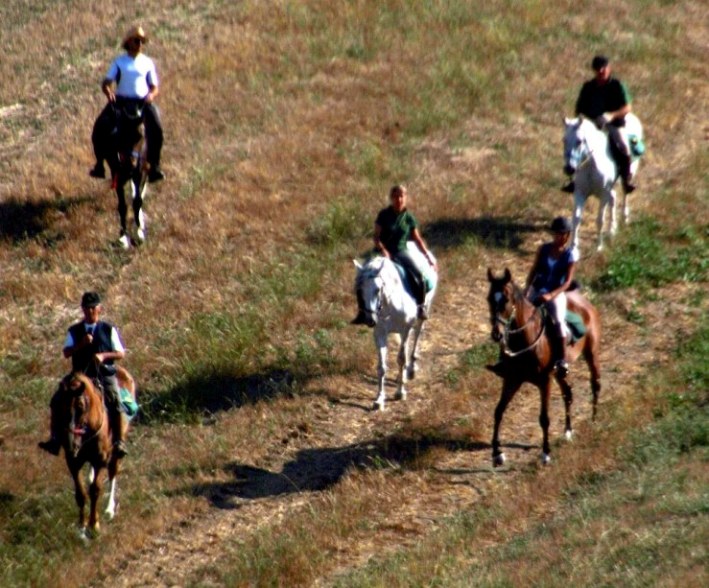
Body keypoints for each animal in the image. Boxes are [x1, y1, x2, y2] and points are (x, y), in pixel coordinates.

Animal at [53, 370, 136, 540]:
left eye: (81, 406)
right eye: (60, 407)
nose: (71, 445)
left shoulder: (101, 460)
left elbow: (95, 490)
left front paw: (94, 525)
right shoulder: (73, 463)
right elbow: (81, 494)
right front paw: (81, 528)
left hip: (115, 453)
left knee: (113, 473)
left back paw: (109, 509)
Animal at [106, 99, 147, 250]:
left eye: (141, 135)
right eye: (122, 136)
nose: (131, 164)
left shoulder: (139, 173)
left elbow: (137, 201)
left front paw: (140, 234)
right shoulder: (118, 177)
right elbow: (122, 206)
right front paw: (123, 238)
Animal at [352, 241, 434, 412]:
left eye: (377, 289)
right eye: (359, 290)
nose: (370, 319)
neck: (388, 304)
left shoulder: (404, 329)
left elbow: (401, 359)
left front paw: (400, 392)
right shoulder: (380, 333)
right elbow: (381, 367)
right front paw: (379, 399)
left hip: (423, 312)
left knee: (417, 335)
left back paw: (411, 370)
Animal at [486, 268, 596, 466]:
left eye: (506, 299)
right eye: (489, 299)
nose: (497, 334)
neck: (525, 341)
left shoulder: (545, 381)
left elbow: (544, 418)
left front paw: (545, 453)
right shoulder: (512, 379)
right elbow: (498, 411)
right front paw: (497, 453)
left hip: (590, 353)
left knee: (594, 383)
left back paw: (594, 419)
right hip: (559, 373)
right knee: (568, 393)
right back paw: (568, 431)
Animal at [564, 113, 640, 252]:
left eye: (579, 141)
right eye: (564, 140)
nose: (569, 169)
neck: (591, 165)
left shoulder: (603, 194)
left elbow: (600, 220)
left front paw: (599, 246)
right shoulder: (580, 193)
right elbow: (576, 219)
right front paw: (573, 247)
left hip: (629, 175)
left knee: (625, 193)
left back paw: (624, 217)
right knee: (614, 198)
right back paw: (612, 230)